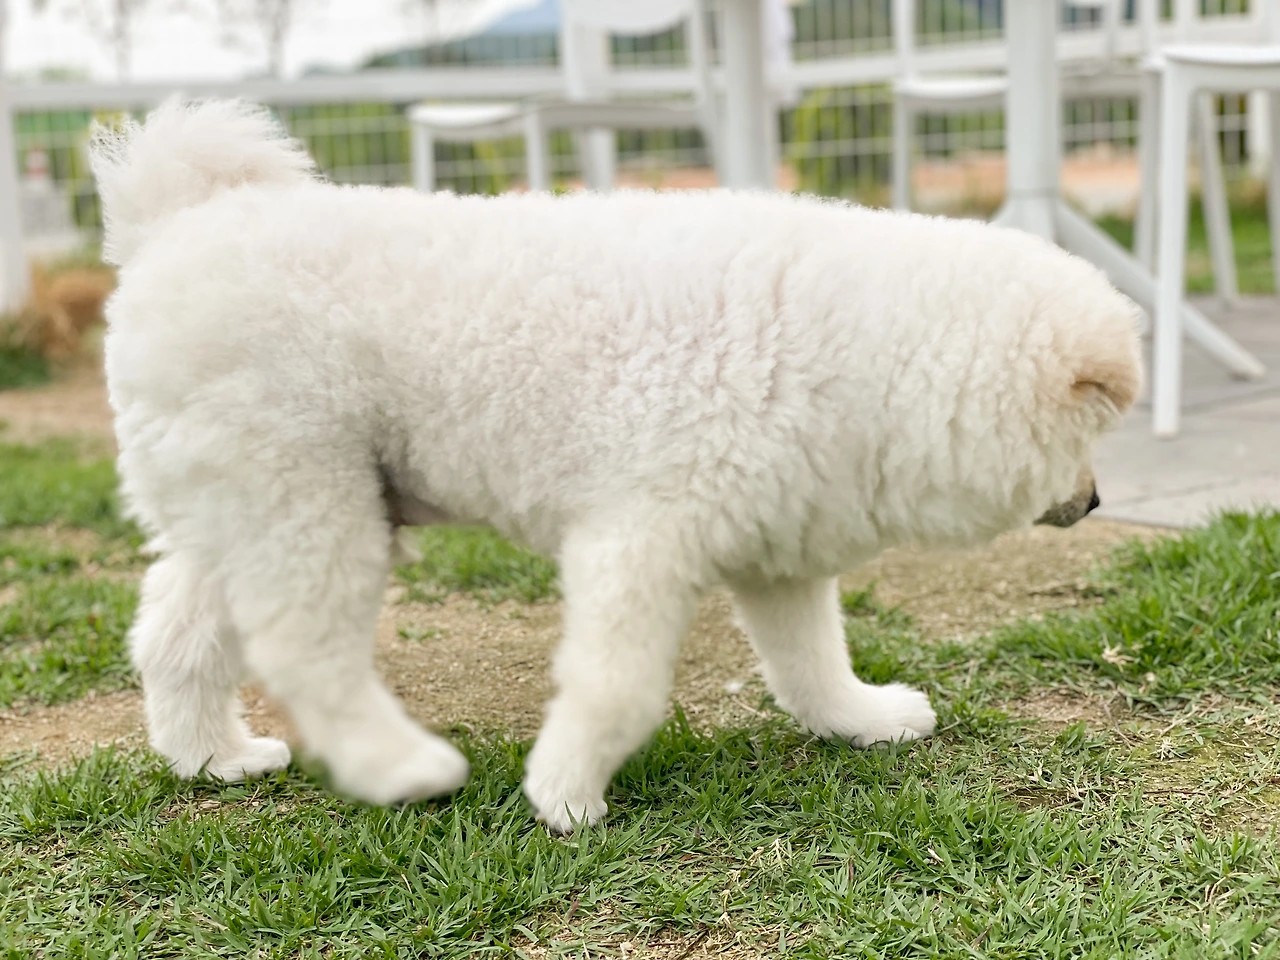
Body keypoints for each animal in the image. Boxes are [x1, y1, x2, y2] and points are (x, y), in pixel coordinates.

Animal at [90, 99, 1141, 833]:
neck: (855, 351)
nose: (1098, 500)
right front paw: (564, 795)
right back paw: (402, 770)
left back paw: (210, 759)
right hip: (312, 508)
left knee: (175, 633)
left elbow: (811, 664)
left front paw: (863, 719)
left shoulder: (778, 546)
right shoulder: (634, 547)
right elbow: (617, 688)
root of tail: (174, 227)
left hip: (248, 512)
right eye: (1082, 442)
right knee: (307, 654)